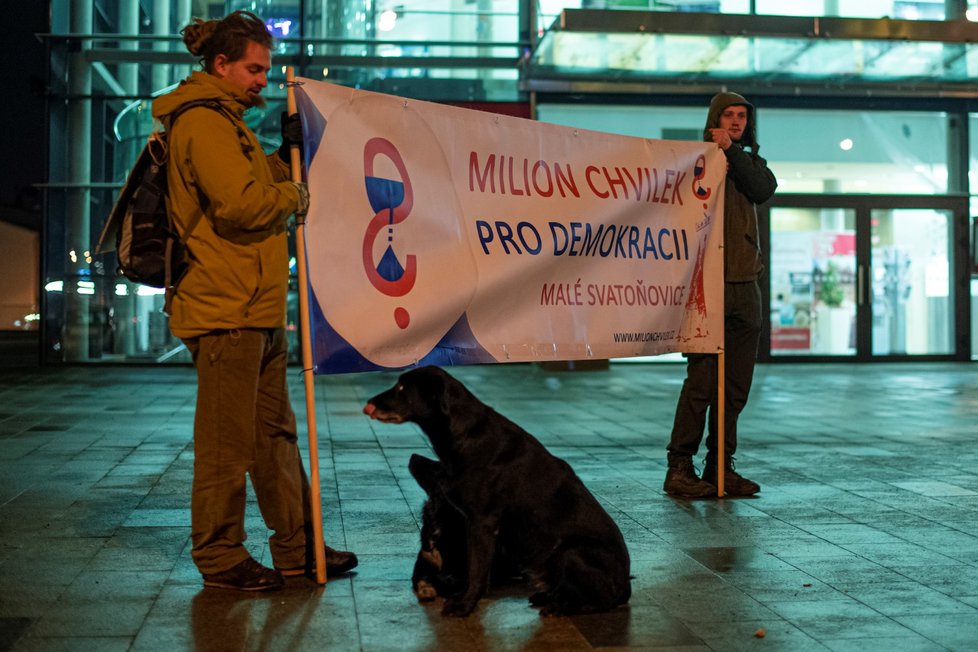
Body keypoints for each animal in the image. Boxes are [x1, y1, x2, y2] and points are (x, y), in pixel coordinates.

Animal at [362, 366, 628, 616]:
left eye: (401, 388)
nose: (368, 405)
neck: (466, 434)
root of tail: (625, 590)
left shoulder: (482, 523)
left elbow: (476, 571)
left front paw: (464, 606)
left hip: (569, 551)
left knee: (597, 602)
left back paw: (560, 607)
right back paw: (547, 597)